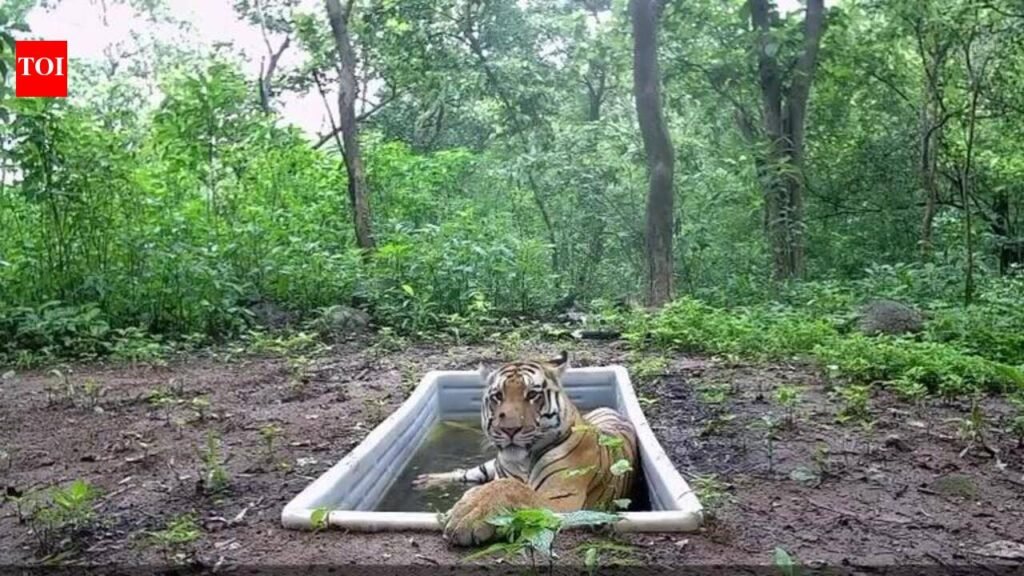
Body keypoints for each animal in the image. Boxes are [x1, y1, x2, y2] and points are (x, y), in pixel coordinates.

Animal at [413, 351, 638, 546]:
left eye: (532, 395)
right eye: (497, 396)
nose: (509, 429)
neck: (522, 462)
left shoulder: (560, 499)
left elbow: (511, 487)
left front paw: (468, 516)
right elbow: (496, 484)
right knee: (470, 472)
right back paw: (427, 480)